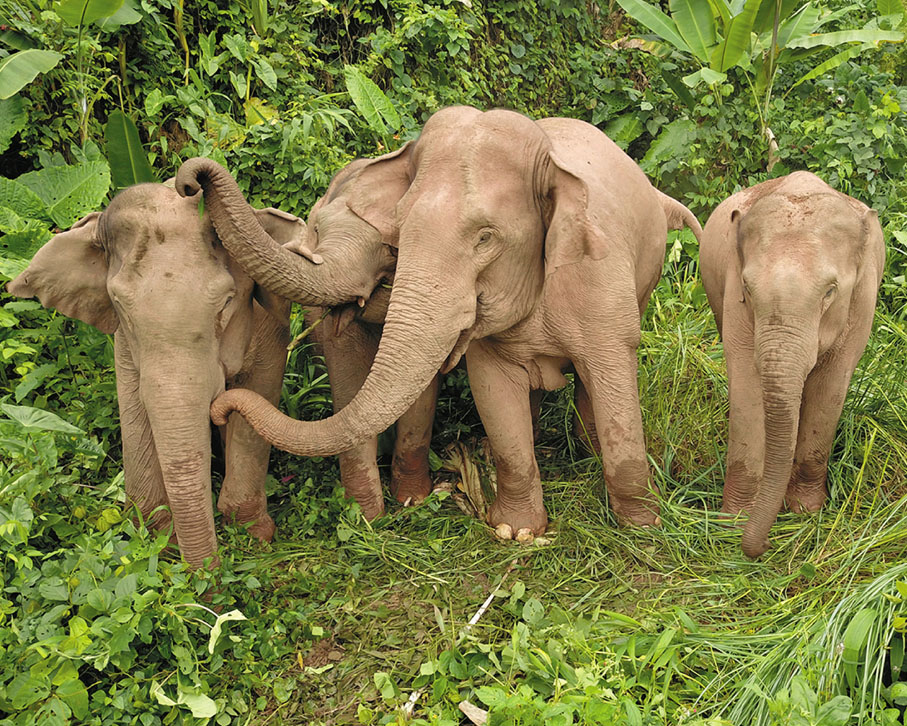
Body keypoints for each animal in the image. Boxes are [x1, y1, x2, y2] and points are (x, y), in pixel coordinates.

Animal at [4, 182, 308, 568]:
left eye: (226, 303)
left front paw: (254, 535)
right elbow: (136, 408)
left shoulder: (270, 328)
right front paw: (159, 546)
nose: (207, 577)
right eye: (121, 306)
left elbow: (257, 394)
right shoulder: (124, 343)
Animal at [188, 108, 704, 540]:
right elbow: (493, 390)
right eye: (399, 231)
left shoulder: (600, 278)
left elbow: (613, 374)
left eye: (485, 238)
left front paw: (643, 529)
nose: (192, 179)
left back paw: (587, 450)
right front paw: (515, 531)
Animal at [704, 173, 888, 560]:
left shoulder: (861, 301)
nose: (766, 545)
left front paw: (805, 511)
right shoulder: (733, 296)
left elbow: (830, 389)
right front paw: (735, 521)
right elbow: (746, 386)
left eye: (831, 292)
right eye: (747, 288)